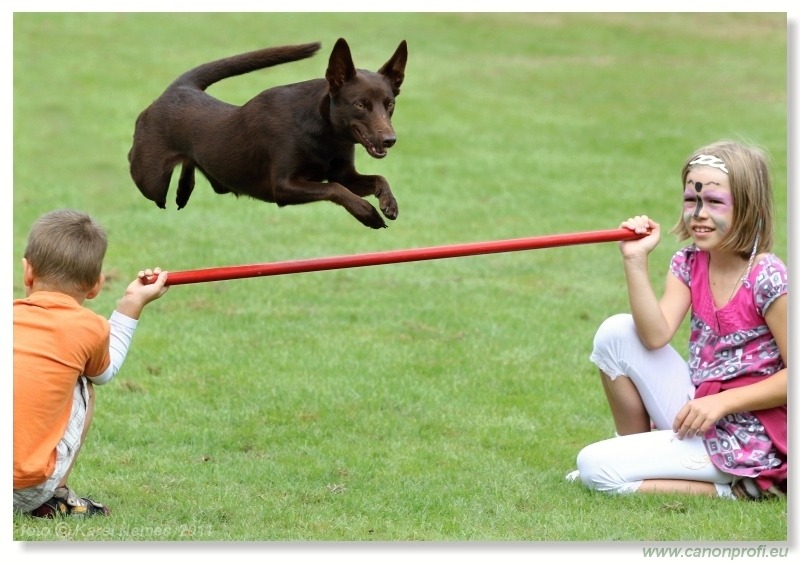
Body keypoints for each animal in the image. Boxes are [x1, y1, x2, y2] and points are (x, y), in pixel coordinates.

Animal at [130, 38, 410, 230]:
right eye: (360, 104)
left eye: (390, 104)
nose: (390, 140)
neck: (324, 132)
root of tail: (180, 87)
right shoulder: (283, 187)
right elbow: (335, 189)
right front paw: (367, 212)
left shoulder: (344, 175)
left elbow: (376, 179)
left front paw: (389, 203)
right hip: (150, 180)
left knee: (191, 163)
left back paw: (183, 190)